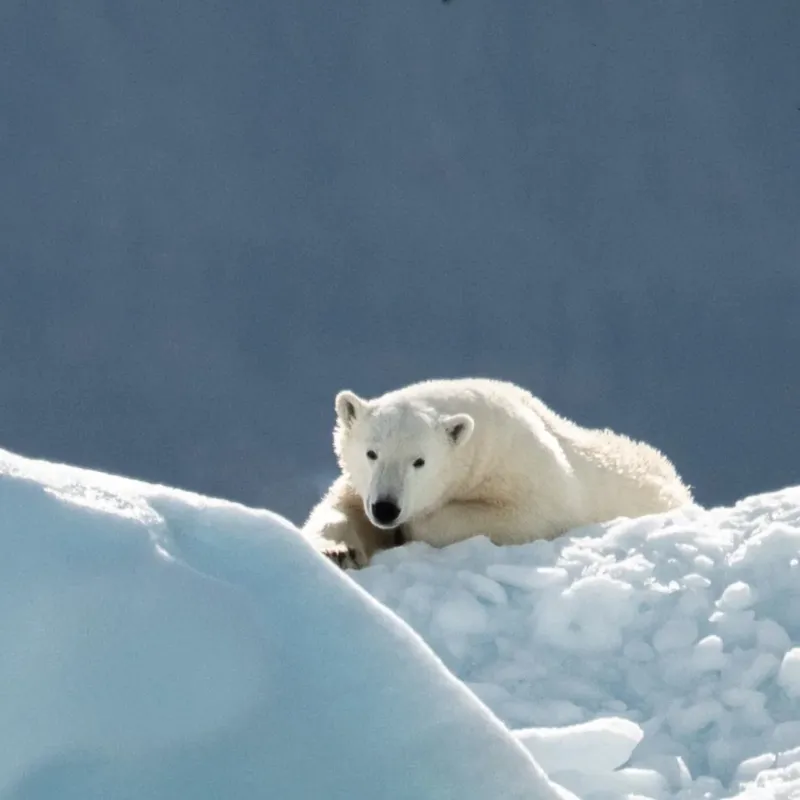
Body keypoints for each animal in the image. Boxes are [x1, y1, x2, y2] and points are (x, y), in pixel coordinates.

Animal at [303, 378, 693, 568]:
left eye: (419, 461)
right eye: (372, 453)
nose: (386, 508)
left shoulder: (523, 468)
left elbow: (527, 516)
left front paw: (411, 528)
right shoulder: (361, 485)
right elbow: (339, 508)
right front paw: (338, 551)